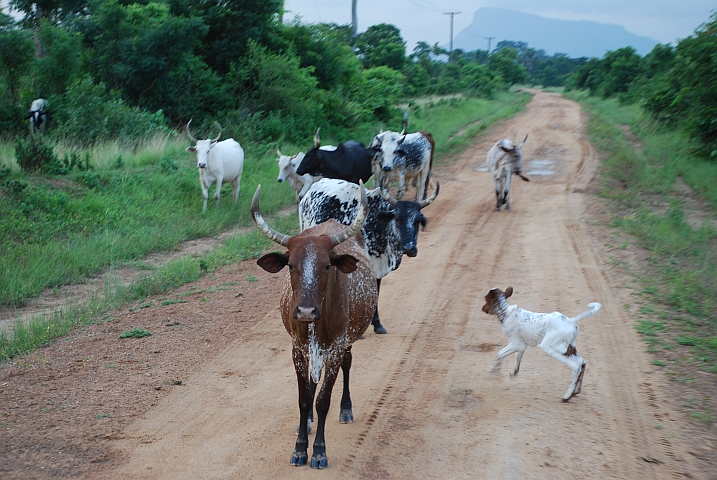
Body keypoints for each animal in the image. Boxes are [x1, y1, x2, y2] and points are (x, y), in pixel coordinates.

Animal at [252, 182, 378, 466]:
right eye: (290, 265)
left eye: (327, 266)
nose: (306, 311)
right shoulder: (297, 350)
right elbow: (304, 399)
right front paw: (300, 448)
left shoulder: (336, 348)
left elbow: (323, 400)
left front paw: (319, 451)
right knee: (311, 383)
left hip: (347, 342)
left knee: (347, 364)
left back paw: (346, 409)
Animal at [300, 177, 440, 334]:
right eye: (398, 219)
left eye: (417, 221)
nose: (409, 248)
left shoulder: (377, 268)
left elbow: (376, 293)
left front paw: (377, 324)